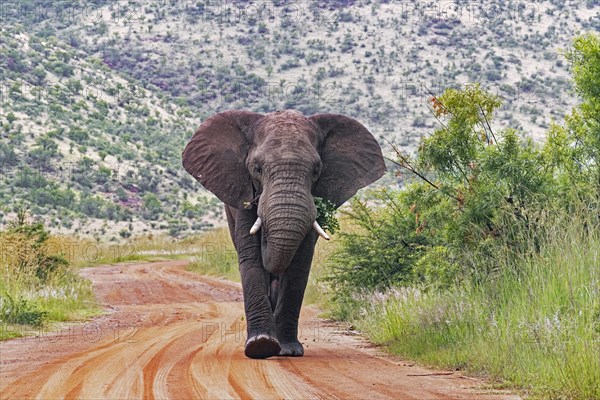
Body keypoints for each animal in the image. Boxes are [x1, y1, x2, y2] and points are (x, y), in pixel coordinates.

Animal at [182, 110, 384, 360]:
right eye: (257, 168)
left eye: (316, 170)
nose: (266, 236)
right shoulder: (243, 193)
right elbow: (251, 258)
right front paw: (260, 346)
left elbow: (299, 264)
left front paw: (288, 350)